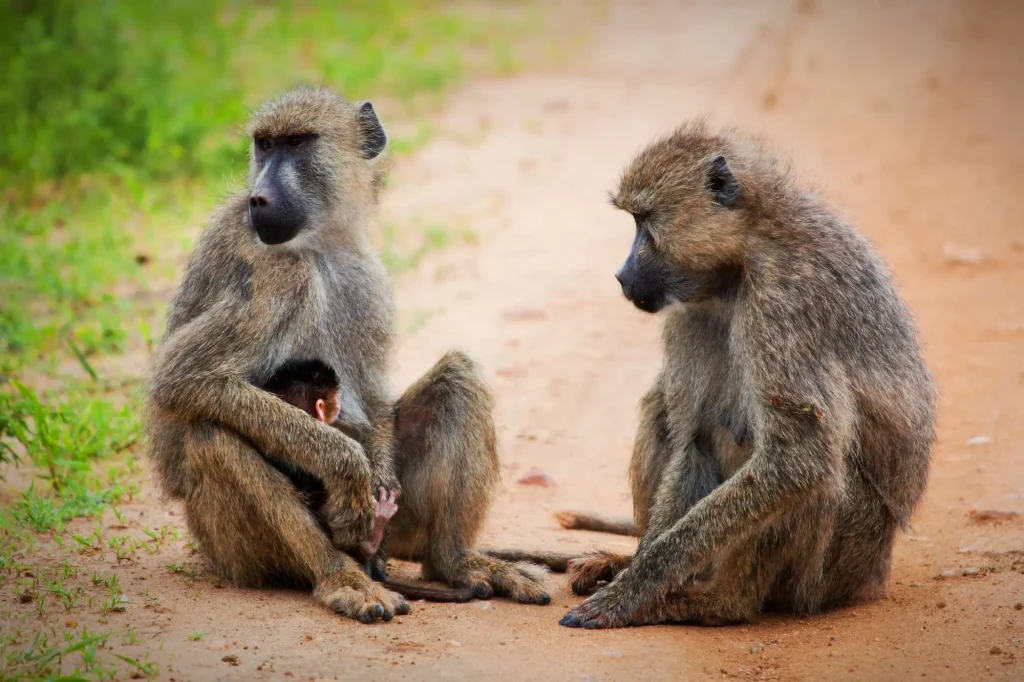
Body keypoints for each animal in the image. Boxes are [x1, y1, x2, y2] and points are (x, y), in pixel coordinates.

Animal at [145, 88, 549, 624]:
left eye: (297, 142)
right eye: (264, 144)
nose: (259, 198)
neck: (319, 243)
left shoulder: (365, 272)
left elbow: (373, 397)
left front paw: (374, 473)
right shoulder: (277, 273)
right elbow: (184, 379)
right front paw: (346, 466)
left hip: (401, 530)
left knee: (458, 379)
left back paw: (455, 563)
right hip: (226, 546)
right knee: (214, 434)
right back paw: (343, 578)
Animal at [557, 121, 935, 628]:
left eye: (644, 221)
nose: (622, 276)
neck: (744, 252)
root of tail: (876, 574)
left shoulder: (785, 298)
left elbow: (800, 457)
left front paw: (633, 591)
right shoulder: (692, 311)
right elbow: (694, 439)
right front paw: (636, 570)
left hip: (840, 562)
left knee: (811, 464)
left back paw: (717, 603)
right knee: (668, 407)